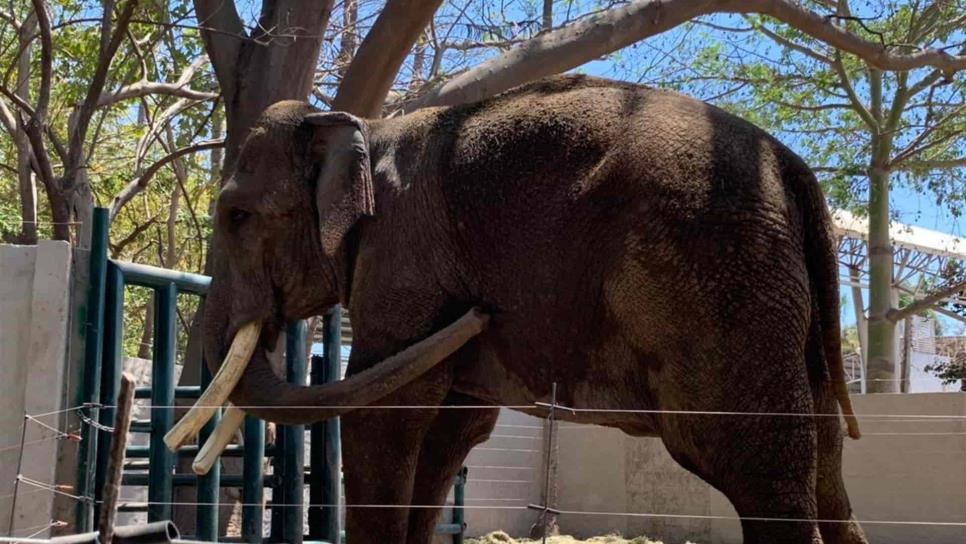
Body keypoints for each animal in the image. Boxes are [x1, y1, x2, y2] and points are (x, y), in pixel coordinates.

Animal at [202, 73, 868, 544]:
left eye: (236, 216)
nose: (478, 313)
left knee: (758, 469)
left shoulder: (402, 258)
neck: (362, 125)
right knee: (827, 472)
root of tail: (794, 171)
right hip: (776, 303)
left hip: (718, 283)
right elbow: (452, 428)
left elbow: (389, 415)